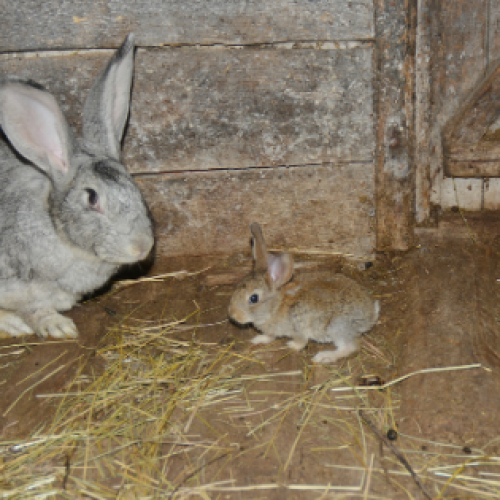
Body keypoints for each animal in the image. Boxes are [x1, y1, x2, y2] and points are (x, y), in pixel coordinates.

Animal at [229, 224, 380, 364]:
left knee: (350, 347)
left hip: (337, 327)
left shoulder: (297, 329)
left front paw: (291, 345)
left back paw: (324, 356)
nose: (232, 314)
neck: (276, 307)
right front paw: (258, 339)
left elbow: (301, 341)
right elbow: (269, 336)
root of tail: (371, 314)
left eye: (254, 298)